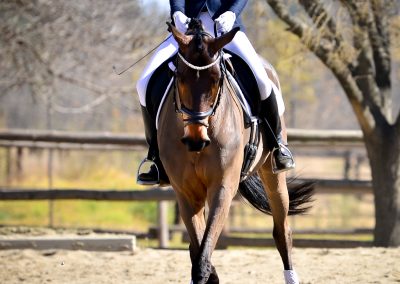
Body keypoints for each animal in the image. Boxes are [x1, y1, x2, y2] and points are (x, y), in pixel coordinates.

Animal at [157, 18, 312, 282]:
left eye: (216, 79)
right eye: (180, 78)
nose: (195, 140)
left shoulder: (222, 187)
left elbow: (202, 256)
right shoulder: (186, 193)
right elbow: (199, 250)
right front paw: (211, 276)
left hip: (272, 172)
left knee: (282, 231)